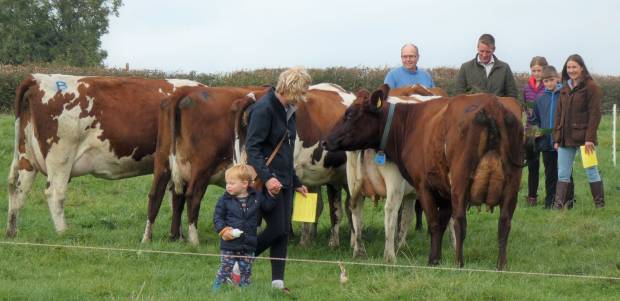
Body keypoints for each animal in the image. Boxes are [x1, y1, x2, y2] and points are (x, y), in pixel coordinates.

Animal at [7, 73, 205, 237]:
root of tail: (37, 78)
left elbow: (174, 197)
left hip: (26, 157)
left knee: (19, 190)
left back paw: (12, 232)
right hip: (60, 157)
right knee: (55, 193)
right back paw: (64, 233)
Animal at [324, 84, 524, 270]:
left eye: (350, 114)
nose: (325, 141)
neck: (409, 123)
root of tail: (492, 104)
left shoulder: (424, 185)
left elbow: (434, 223)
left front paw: (433, 260)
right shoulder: (443, 189)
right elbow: (441, 223)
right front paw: (438, 256)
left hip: (460, 179)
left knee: (459, 220)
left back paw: (458, 263)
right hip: (512, 183)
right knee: (504, 222)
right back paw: (501, 265)